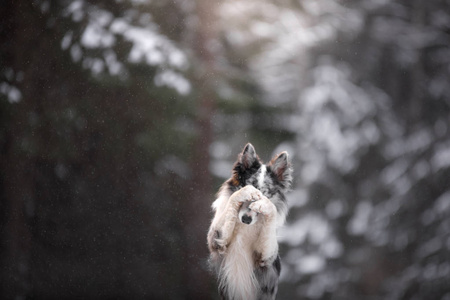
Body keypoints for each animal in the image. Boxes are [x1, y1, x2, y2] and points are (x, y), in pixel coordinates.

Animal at [207, 143, 292, 300]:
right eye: (248, 184)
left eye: (266, 194)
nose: (246, 219)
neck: (244, 228)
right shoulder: (216, 240)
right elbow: (233, 200)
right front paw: (244, 192)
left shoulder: (265, 258)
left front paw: (265, 205)